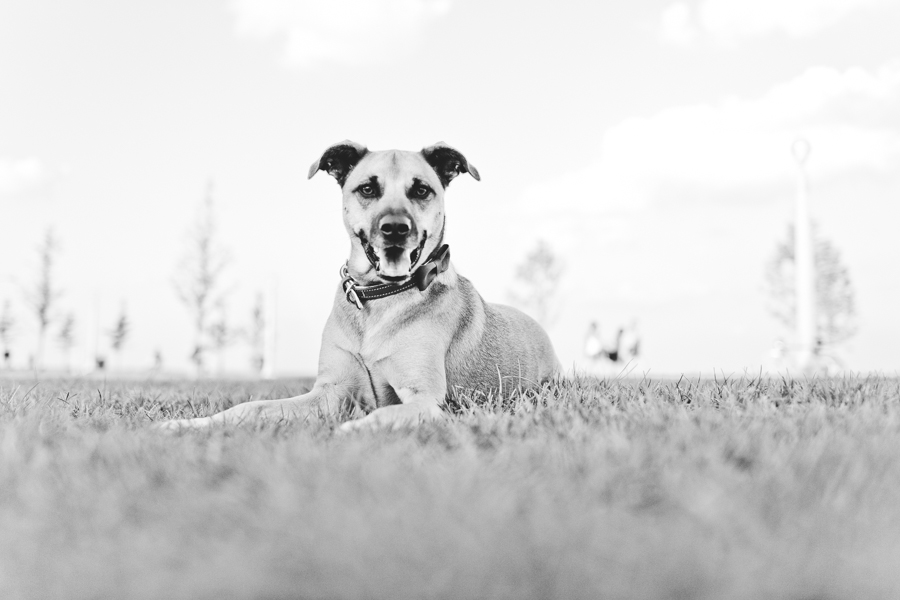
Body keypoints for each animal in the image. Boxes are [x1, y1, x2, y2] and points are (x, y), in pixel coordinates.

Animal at [158, 141, 560, 432]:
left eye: (422, 190)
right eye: (367, 188)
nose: (395, 229)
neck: (380, 298)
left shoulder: (424, 399)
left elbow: (381, 415)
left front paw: (349, 431)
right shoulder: (328, 392)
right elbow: (251, 407)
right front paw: (191, 423)